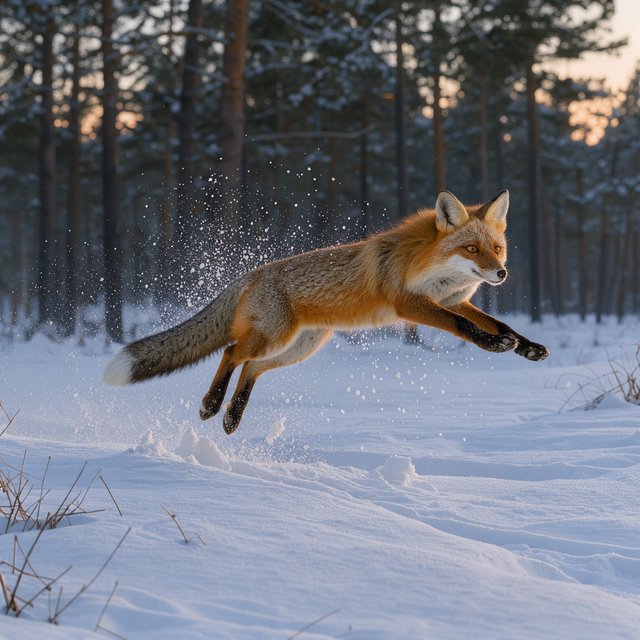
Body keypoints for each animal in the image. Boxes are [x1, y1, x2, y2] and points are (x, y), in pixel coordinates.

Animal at [104, 189, 549, 434]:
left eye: (497, 248)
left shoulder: (455, 299)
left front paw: (527, 347)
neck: (427, 267)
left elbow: (497, 322)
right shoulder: (412, 304)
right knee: (231, 353)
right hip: (275, 338)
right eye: (471, 249)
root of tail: (251, 274)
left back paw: (232, 417)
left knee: (251, 367)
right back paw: (211, 406)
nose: (501, 272)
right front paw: (495, 345)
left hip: (298, 348)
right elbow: (463, 328)